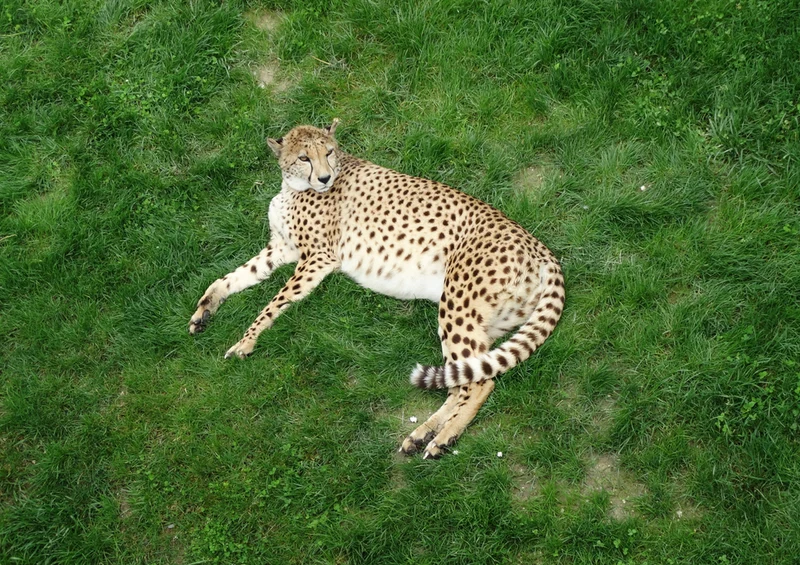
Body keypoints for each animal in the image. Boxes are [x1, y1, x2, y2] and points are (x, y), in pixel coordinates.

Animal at [188, 119, 565, 459]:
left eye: (328, 152)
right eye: (304, 157)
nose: (324, 178)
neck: (294, 187)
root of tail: (540, 248)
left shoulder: (318, 258)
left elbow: (271, 303)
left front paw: (245, 342)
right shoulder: (282, 249)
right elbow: (230, 278)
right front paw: (204, 310)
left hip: (458, 303)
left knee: (480, 380)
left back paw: (443, 438)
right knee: (463, 377)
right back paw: (423, 435)